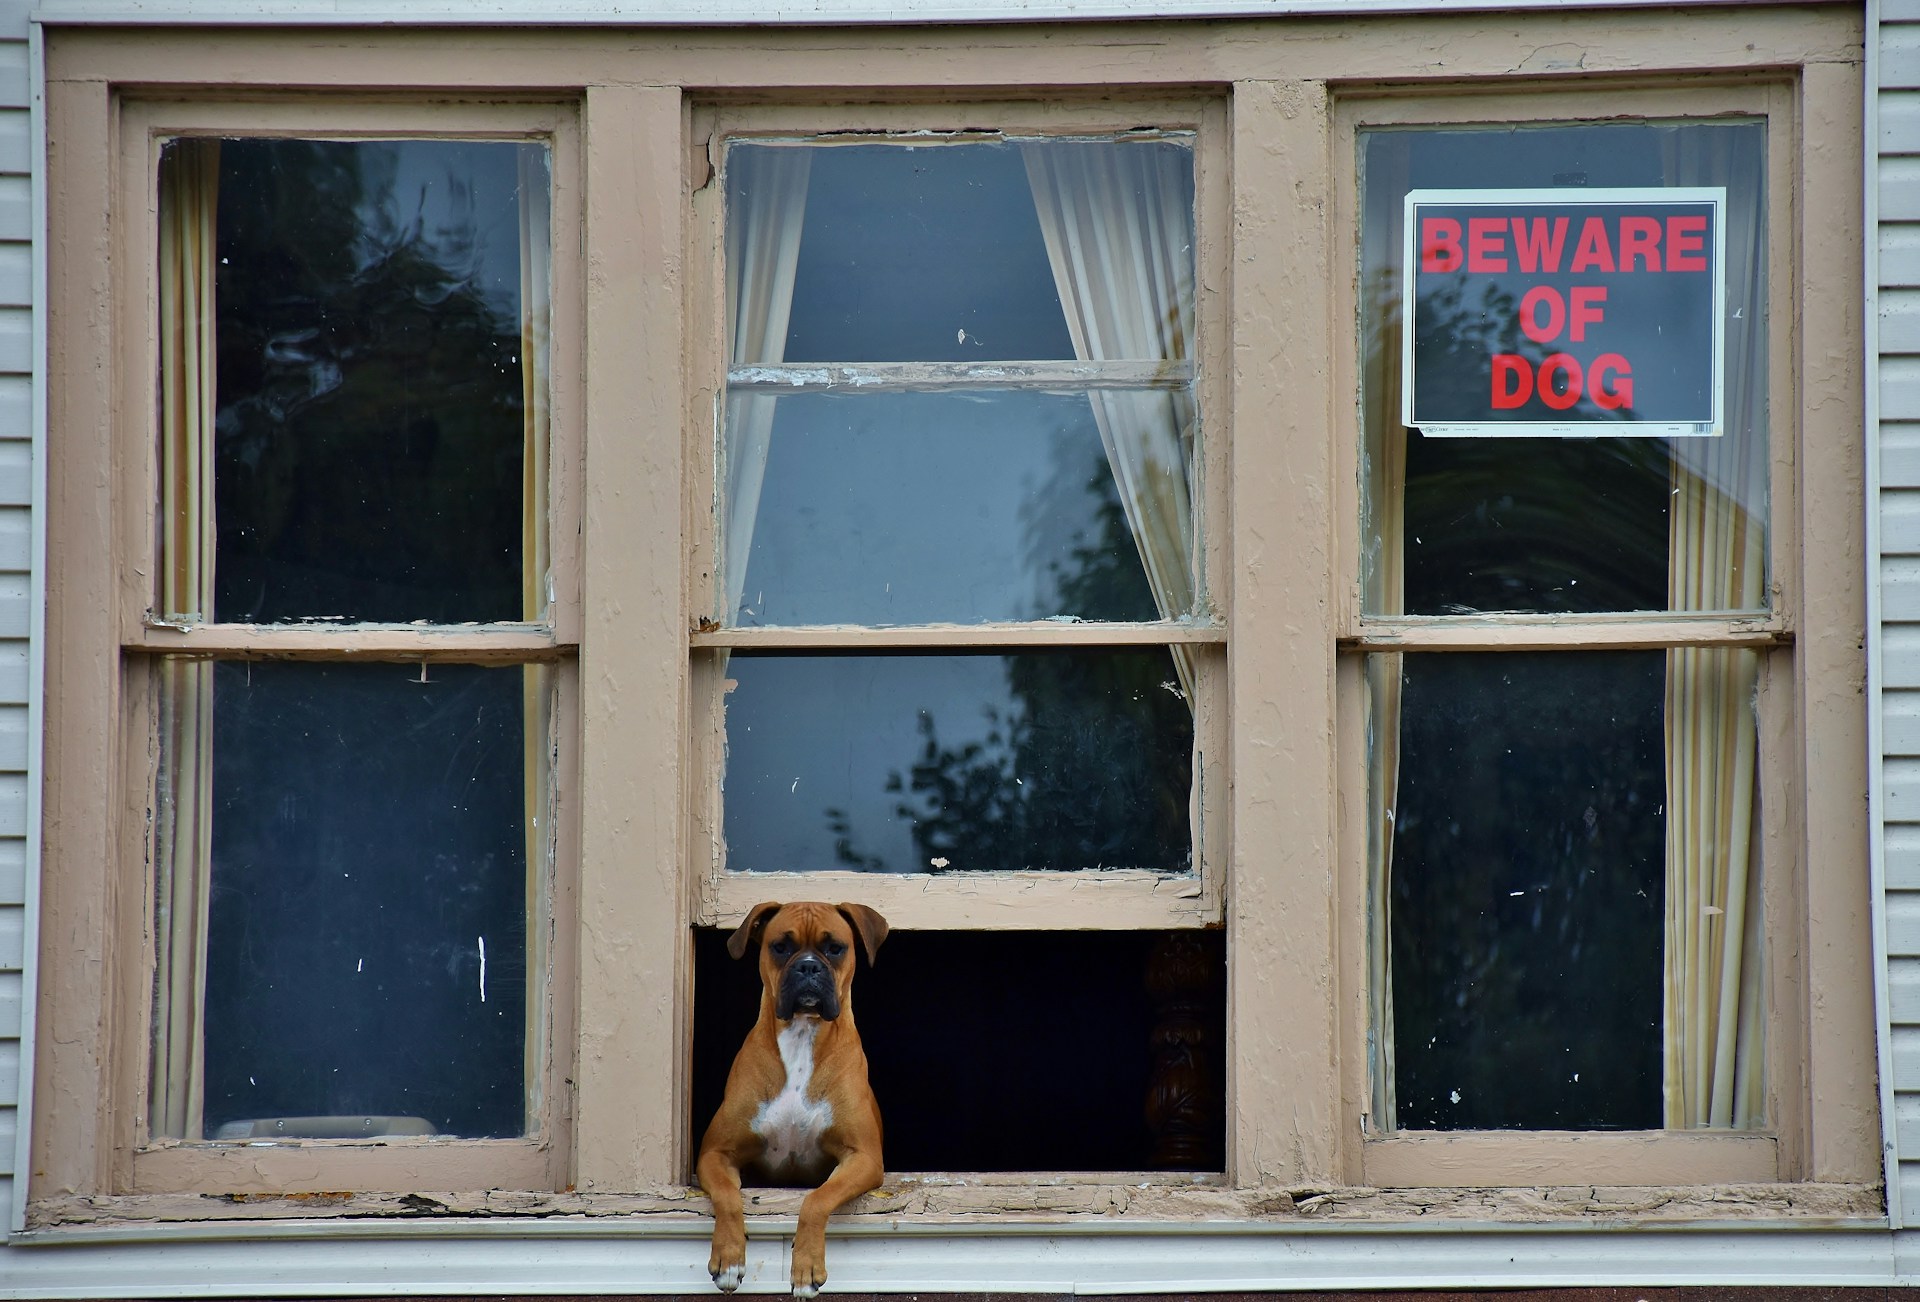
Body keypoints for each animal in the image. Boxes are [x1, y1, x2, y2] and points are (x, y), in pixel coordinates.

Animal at [698, 902, 890, 1298]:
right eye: (781, 947)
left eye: (835, 948)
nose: (808, 967)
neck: (803, 1033)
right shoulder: (715, 1153)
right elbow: (726, 1193)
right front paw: (729, 1258)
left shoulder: (863, 1158)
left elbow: (816, 1199)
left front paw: (805, 1268)